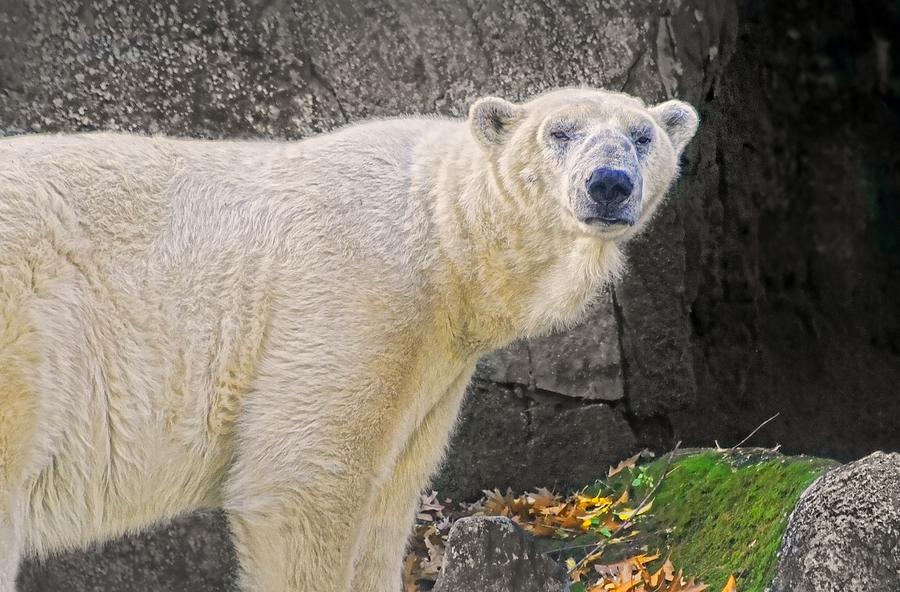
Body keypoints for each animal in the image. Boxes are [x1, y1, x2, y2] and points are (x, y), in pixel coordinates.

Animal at [0, 88, 696, 592]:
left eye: (643, 136)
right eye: (560, 132)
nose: (609, 183)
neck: (440, 232)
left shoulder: (435, 361)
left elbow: (391, 494)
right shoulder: (356, 291)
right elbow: (303, 477)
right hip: (27, 331)